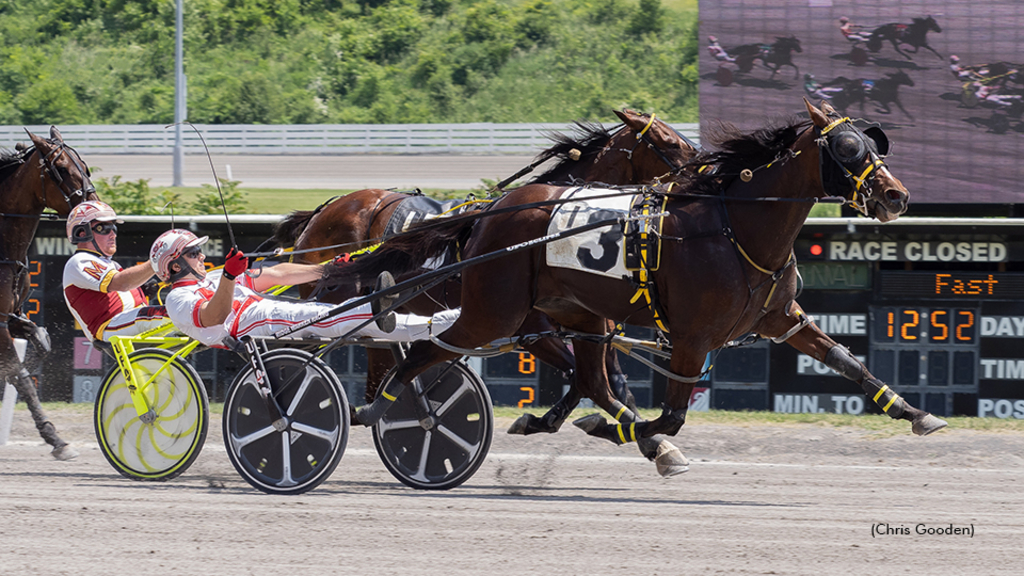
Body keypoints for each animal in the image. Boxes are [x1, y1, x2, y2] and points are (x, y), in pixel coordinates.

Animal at [1, 125, 97, 457]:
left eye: (85, 166)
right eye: (63, 169)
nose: (98, 211)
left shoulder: (12, 316)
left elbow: (40, 341)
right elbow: (21, 375)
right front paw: (55, 438)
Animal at [276, 109, 700, 473]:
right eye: (671, 141)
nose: (700, 166)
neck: (546, 231)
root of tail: (325, 210)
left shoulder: (584, 324)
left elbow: (610, 383)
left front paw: (652, 444)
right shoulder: (529, 328)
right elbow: (581, 376)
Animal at [327, 98, 942, 471]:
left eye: (875, 145)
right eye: (849, 149)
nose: (897, 196)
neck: (734, 227)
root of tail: (492, 212)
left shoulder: (781, 319)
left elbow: (847, 361)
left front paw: (914, 412)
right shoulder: (692, 338)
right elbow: (669, 414)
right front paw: (642, 437)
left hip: (572, 314)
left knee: (587, 376)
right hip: (495, 312)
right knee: (426, 351)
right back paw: (380, 408)